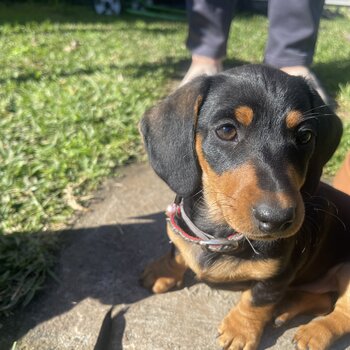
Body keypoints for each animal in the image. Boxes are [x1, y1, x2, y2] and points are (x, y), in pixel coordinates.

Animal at [139, 64, 350, 348]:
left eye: (305, 136)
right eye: (226, 130)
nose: (278, 219)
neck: (221, 234)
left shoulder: (277, 275)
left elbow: (256, 300)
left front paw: (240, 330)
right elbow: (176, 251)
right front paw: (163, 270)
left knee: (341, 313)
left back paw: (314, 333)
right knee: (325, 299)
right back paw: (288, 306)